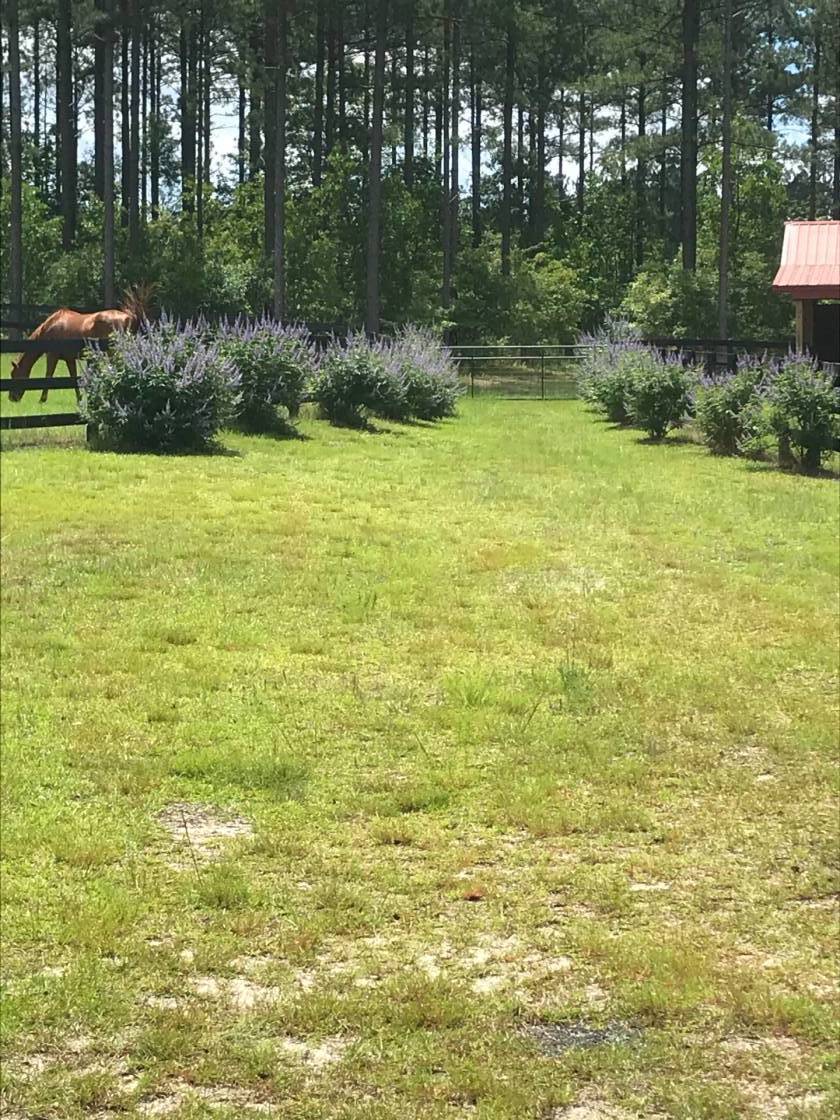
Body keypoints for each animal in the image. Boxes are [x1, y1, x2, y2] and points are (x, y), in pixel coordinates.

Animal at [7, 286, 153, 404]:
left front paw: (42, 399)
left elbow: (49, 375)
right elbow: (73, 379)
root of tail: (129, 317)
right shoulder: (69, 359)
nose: (12, 398)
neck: (51, 326)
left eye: (14, 375)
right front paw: (80, 399)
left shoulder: (52, 355)